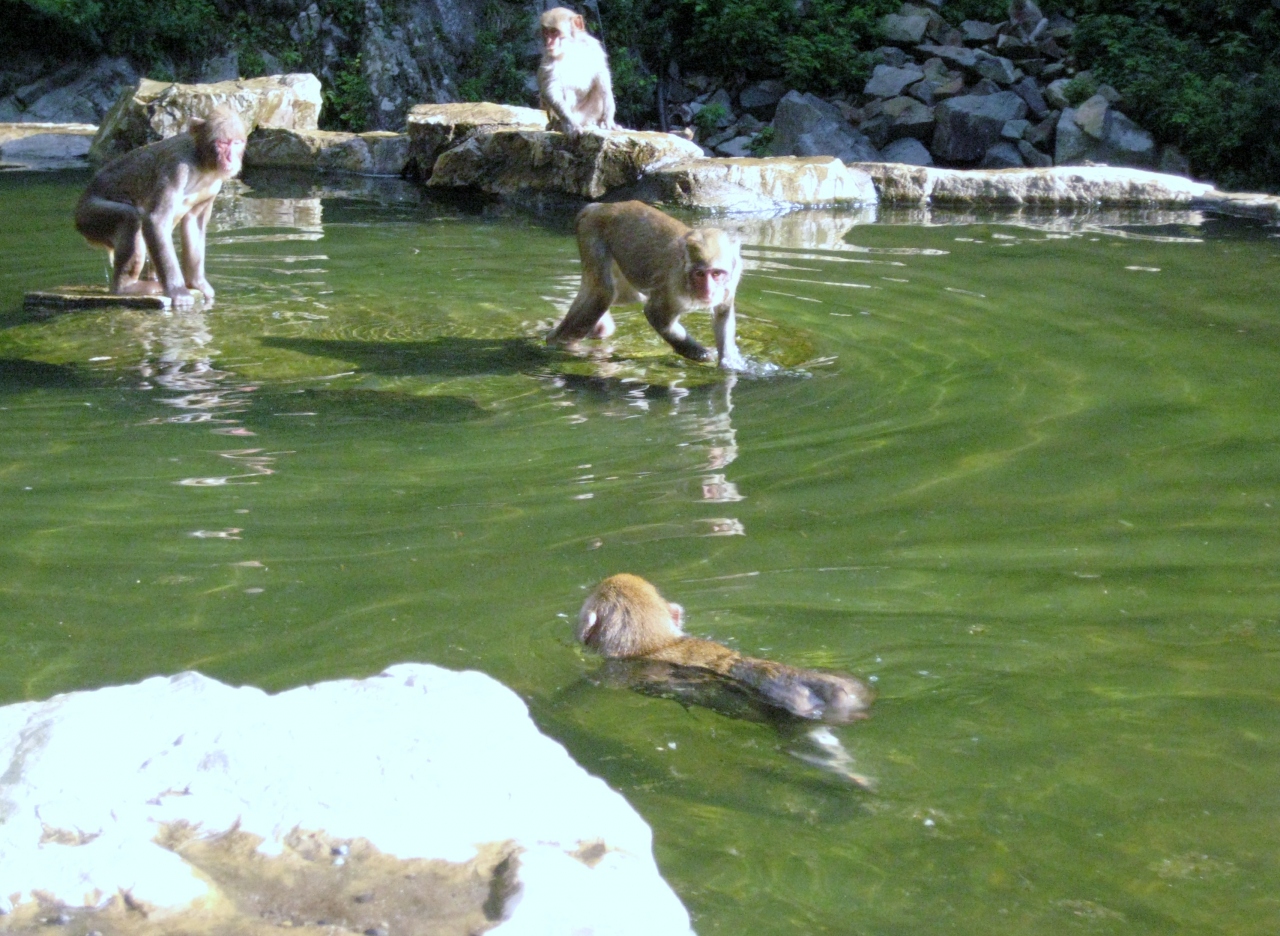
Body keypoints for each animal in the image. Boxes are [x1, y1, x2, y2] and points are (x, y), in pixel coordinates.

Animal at [75, 107, 247, 310]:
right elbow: (156, 219)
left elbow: (193, 224)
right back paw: (126, 287)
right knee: (130, 218)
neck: (201, 162)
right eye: (222, 143)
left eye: (236, 143)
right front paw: (178, 291)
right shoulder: (177, 168)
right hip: (88, 216)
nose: (230, 157)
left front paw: (197, 283)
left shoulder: (214, 185)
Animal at [537, 6, 619, 138]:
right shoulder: (549, 58)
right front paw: (572, 126)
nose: (549, 42)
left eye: (554, 32)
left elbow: (602, 79)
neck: (571, 48)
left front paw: (608, 119)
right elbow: (552, 90)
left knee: (598, 87)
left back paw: (598, 121)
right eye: (546, 33)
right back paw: (559, 125)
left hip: (587, 114)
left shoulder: (594, 48)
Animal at [547, 201, 746, 369]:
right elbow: (655, 314)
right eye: (700, 274)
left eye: (716, 274)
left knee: (623, 296)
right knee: (603, 292)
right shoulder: (674, 283)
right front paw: (699, 354)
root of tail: (600, 206)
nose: (708, 290)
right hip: (591, 233)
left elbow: (723, 314)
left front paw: (729, 362)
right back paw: (556, 342)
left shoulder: (733, 278)